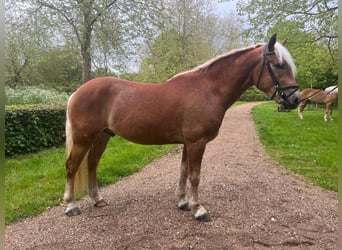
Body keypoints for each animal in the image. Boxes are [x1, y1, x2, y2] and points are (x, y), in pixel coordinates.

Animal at [63, 34, 300, 222]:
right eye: (279, 65)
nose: (295, 99)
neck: (209, 89)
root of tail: (77, 92)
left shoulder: (188, 142)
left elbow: (184, 171)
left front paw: (183, 202)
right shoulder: (197, 142)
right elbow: (195, 175)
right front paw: (199, 209)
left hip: (102, 136)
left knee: (92, 164)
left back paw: (98, 199)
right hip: (83, 138)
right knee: (72, 166)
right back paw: (71, 206)